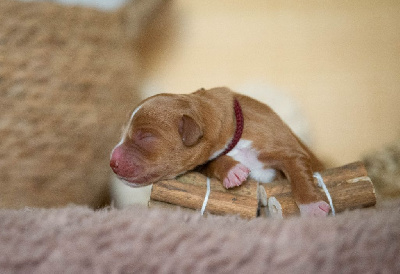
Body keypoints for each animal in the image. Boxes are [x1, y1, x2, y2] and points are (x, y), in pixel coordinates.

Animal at [110, 87, 332, 216]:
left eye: (146, 136)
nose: (112, 162)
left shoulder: (288, 150)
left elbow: (299, 177)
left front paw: (312, 207)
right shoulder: (204, 160)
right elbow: (212, 162)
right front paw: (233, 172)